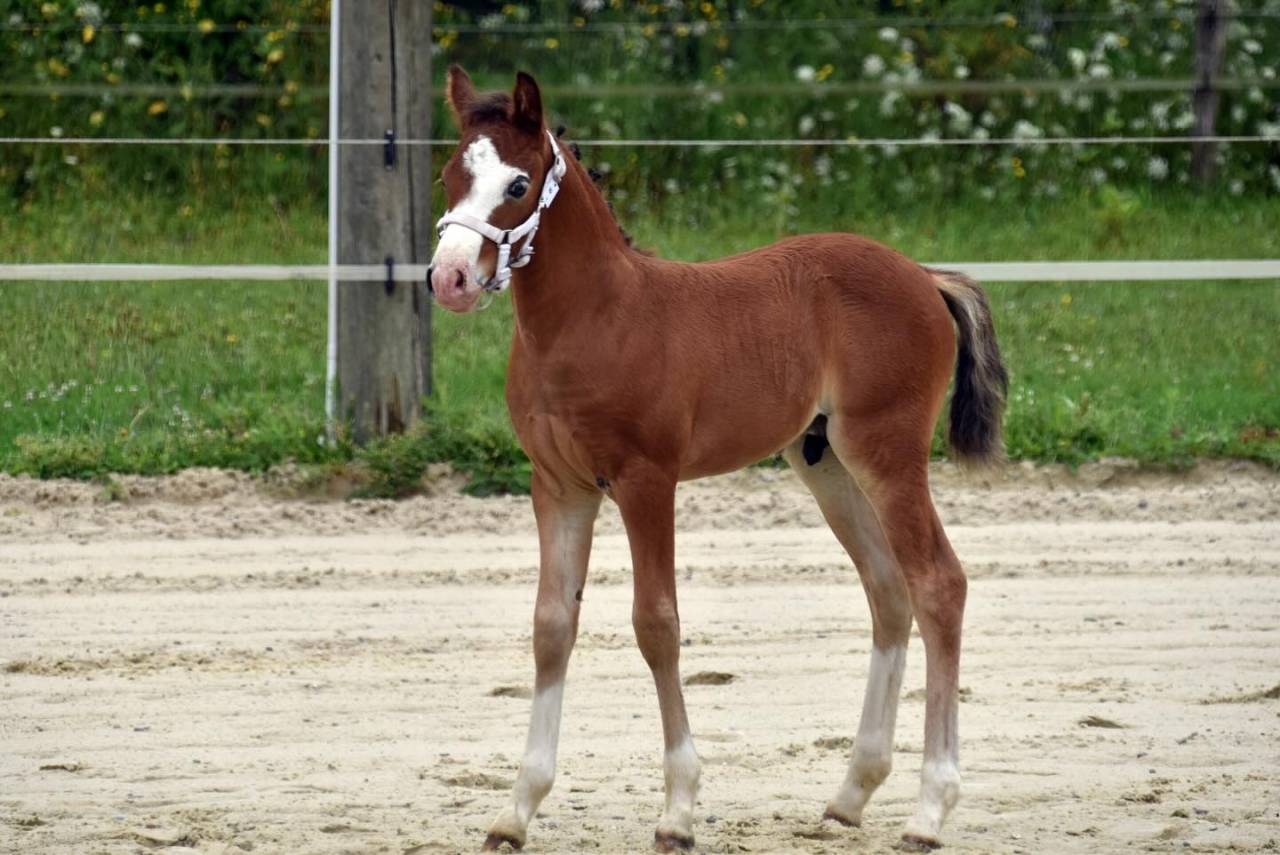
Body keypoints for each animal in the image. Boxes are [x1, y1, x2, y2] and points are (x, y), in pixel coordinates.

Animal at [427, 66, 1007, 852]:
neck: (592, 319)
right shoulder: (559, 486)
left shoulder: (646, 479)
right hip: (825, 463)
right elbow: (551, 627)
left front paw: (678, 809)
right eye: (450, 175)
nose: (449, 278)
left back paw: (929, 809)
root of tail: (925, 275)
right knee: (889, 591)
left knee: (938, 583)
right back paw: (851, 793)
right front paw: (516, 810)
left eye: (517, 184)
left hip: (887, 452)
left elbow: (656, 623)